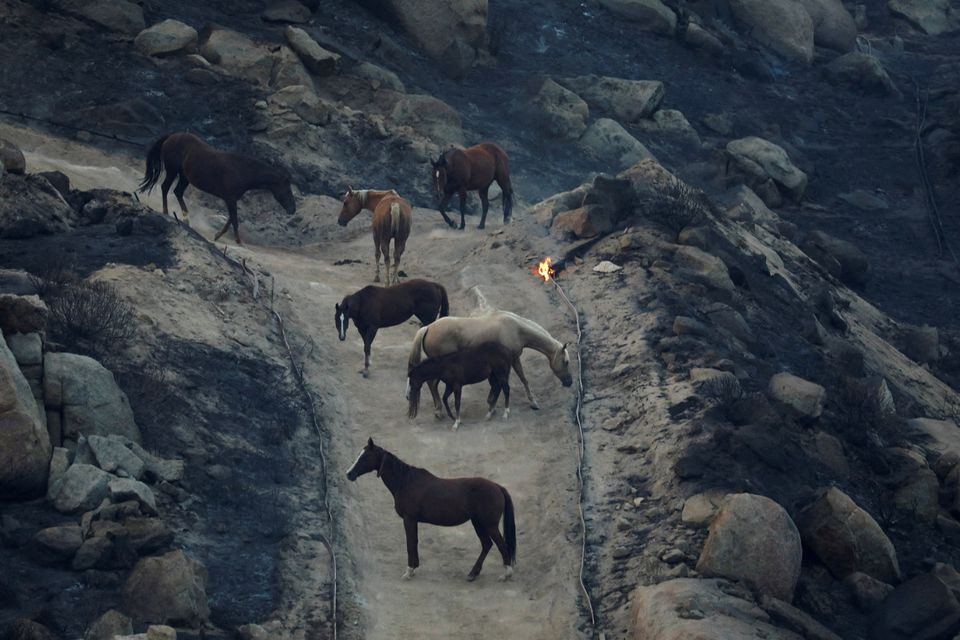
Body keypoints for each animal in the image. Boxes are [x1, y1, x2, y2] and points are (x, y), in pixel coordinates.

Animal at [138, 132, 296, 245]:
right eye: (288, 190)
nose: (293, 210)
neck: (242, 171)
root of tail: (171, 136)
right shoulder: (230, 198)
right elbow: (235, 219)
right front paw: (239, 242)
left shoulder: (232, 199)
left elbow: (231, 219)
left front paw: (217, 235)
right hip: (172, 171)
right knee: (165, 188)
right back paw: (166, 212)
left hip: (184, 176)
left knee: (177, 192)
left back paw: (186, 219)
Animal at [346, 438, 516, 584]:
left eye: (365, 457)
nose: (349, 474)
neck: (405, 482)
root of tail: (497, 487)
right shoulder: (413, 520)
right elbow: (414, 541)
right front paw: (414, 568)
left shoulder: (409, 519)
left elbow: (410, 543)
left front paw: (409, 571)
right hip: (478, 523)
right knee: (487, 545)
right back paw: (473, 573)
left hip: (489, 525)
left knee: (500, 545)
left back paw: (506, 574)